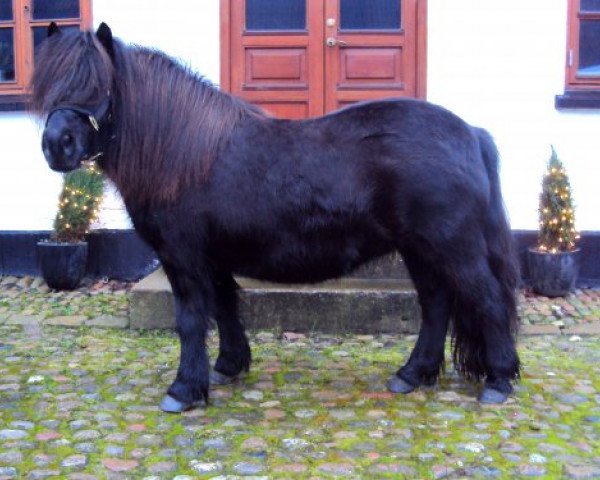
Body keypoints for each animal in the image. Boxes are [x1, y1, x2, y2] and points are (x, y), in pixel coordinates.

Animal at [32, 23, 520, 412]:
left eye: (100, 85)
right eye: (49, 83)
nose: (58, 146)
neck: (186, 152)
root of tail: (470, 134)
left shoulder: (182, 257)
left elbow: (191, 318)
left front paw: (184, 390)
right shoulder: (213, 257)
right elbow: (225, 306)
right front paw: (228, 365)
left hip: (452, 246)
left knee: (486, 300)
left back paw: (498, 381)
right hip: (419, 248)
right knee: (436, 304)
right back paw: (412, 375)